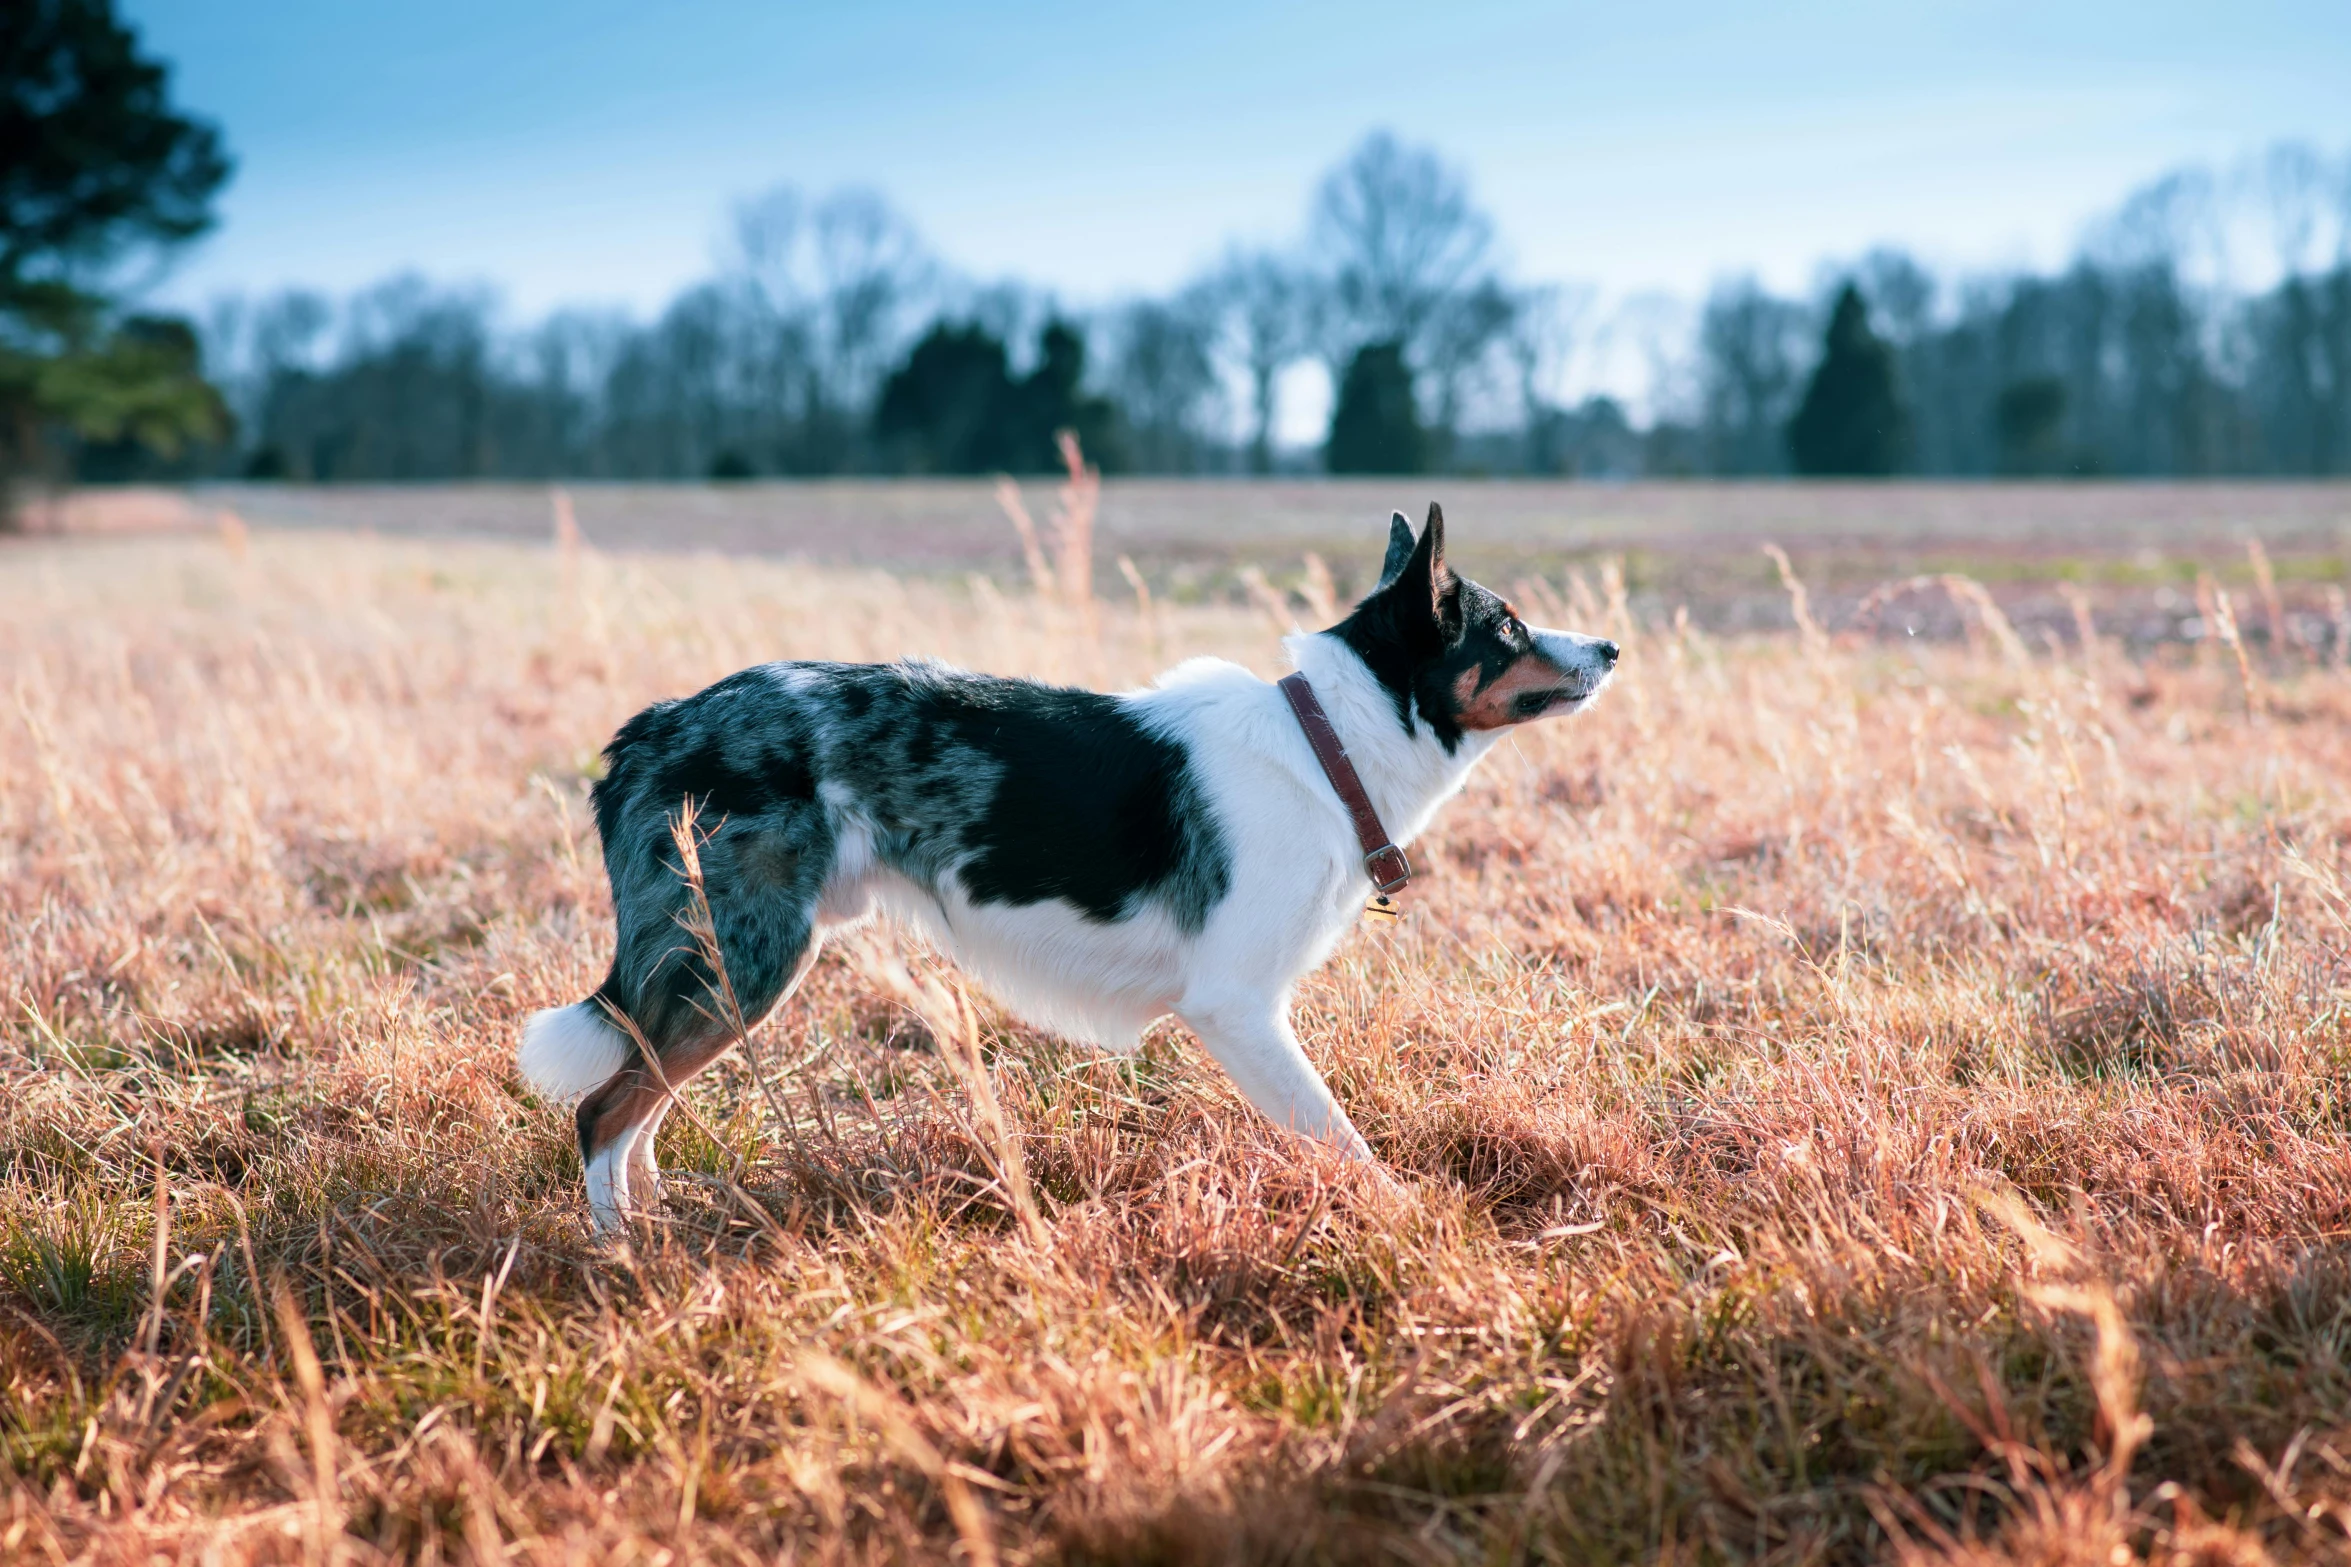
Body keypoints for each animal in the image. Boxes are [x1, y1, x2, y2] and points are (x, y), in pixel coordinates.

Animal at [514, 509, 1617, 1231]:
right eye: (1507, 626)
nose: (1609, 646)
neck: (1327, 744)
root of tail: (652, 725)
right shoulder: (1238, 1009)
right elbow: (1339, 1138)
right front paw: (1407, 1219)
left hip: (716, 966)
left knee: (638, 1103)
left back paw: (654, 1221)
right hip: (742, 962)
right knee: (602, 1109)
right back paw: (624, 1256)